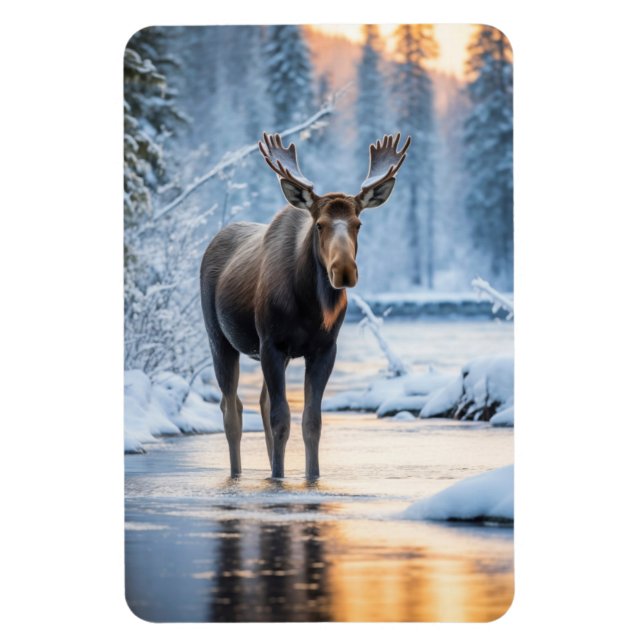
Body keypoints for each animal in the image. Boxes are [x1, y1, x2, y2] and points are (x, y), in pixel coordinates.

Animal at [200, 132, 411, 480]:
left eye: (358, 223)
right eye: (319, 224)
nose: (344, 270)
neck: (309, 308)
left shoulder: (323, 348)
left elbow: (311, 421)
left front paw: (311, 475)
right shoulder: (271, 343)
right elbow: (281, 419)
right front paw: (278, 477)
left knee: (259, 402)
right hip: (219, 339)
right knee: (232, 409)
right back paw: (237, 473)